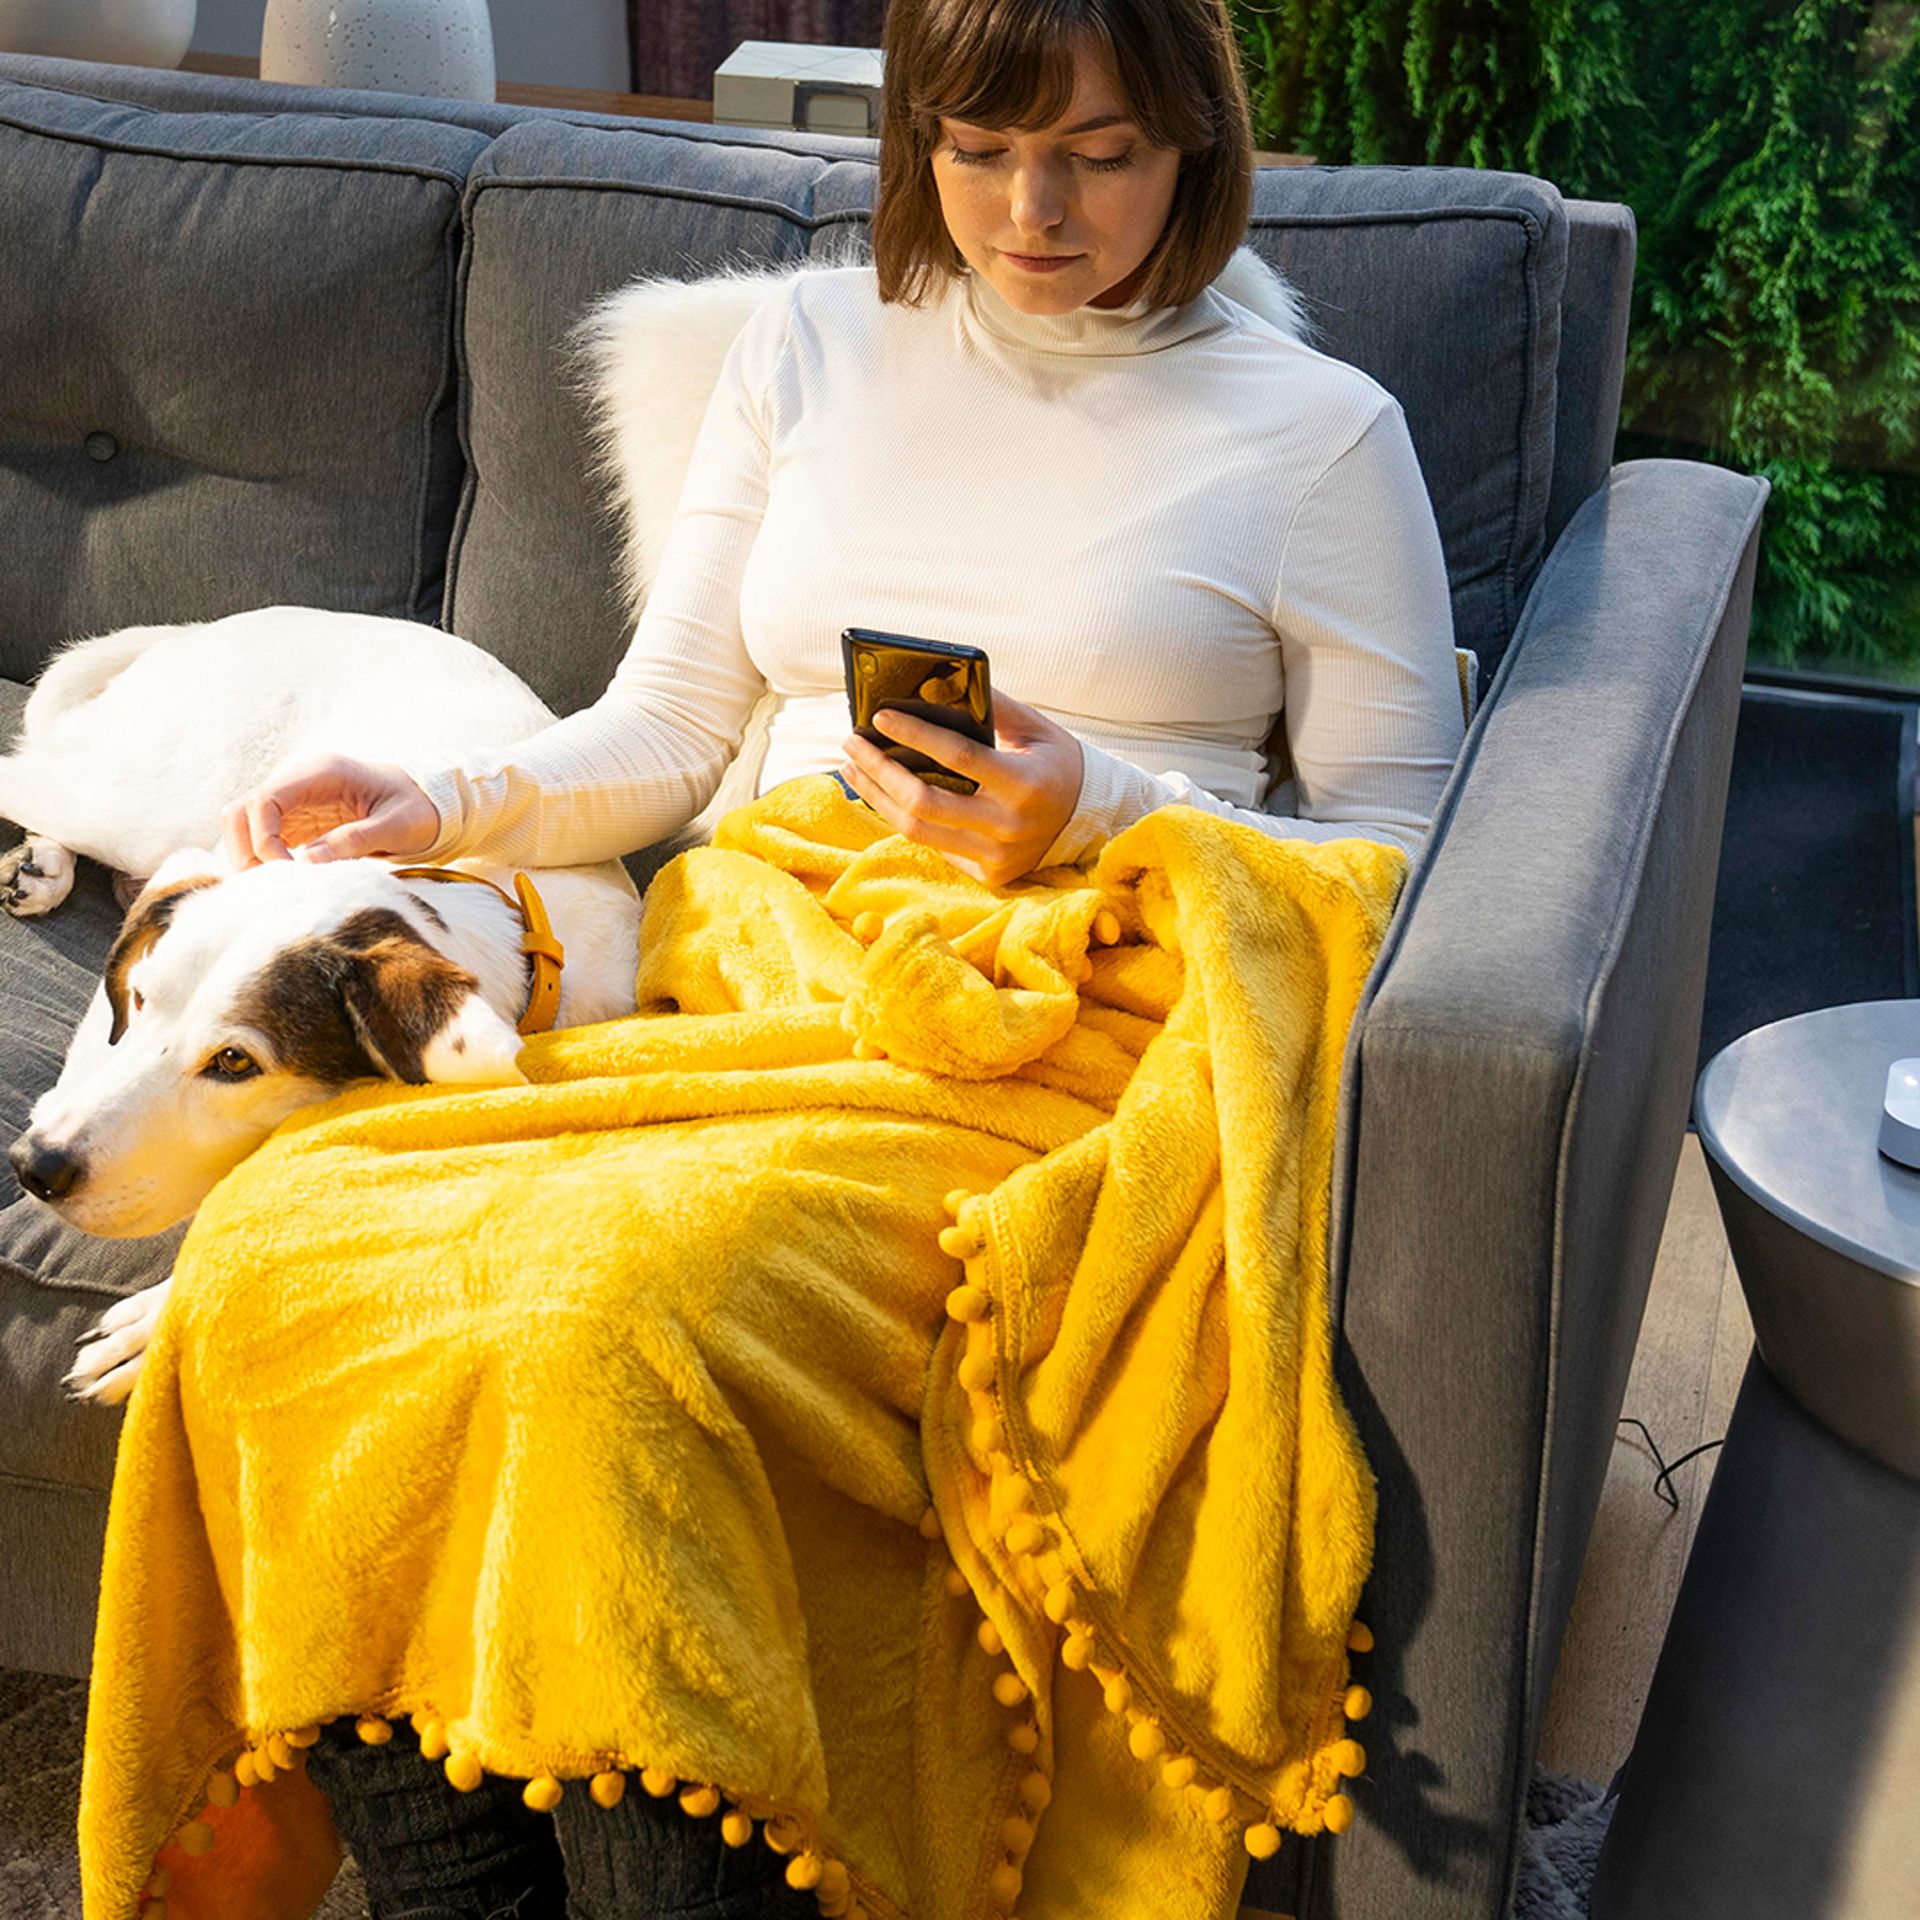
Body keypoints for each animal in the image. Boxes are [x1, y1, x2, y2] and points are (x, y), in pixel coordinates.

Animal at [0, 606, 645, 1406]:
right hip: (144, 805)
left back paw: (42, 863)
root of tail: (200, 627)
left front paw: (155, 1322)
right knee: (25, 767)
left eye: (235, 1062)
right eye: (141, 998)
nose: (34, 1166)